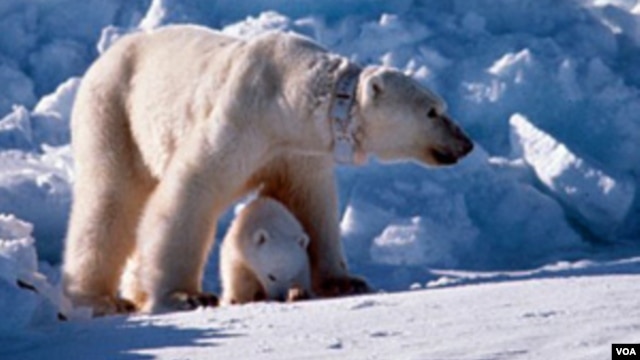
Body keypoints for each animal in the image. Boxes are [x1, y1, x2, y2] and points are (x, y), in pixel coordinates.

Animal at [62, 24, 472, 316]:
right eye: (432, 111)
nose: (465, 143)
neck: (286, 97)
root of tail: (104, 57)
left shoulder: (297, 149)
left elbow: (312, 204)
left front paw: (345, 281)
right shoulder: (243, 120)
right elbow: (192, 191)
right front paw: (186, 296)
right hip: (114, 111)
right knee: (111, 197)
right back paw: (98, 299)